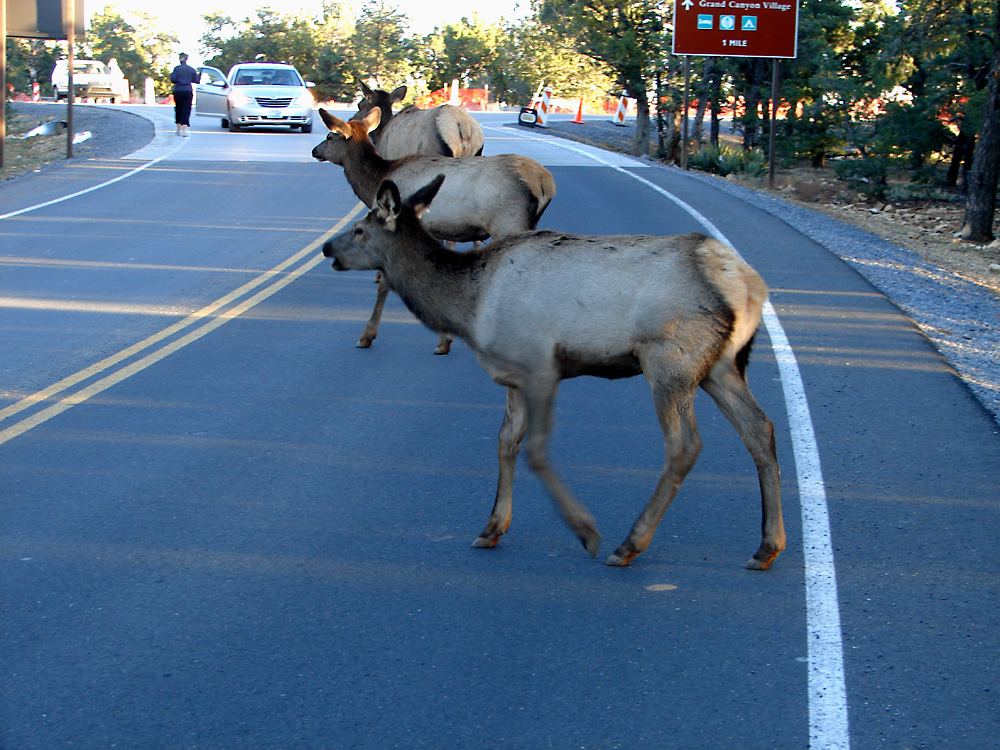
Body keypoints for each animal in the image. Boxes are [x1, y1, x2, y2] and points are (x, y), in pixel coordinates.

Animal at [312, 107, 556, 356]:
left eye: (330, 136)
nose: (315, 150)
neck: (375, 182)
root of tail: (545, 183)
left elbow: (385, 285)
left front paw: (367, 336)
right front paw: (445, 340)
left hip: (508, 221)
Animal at [324, 176, 784, 572]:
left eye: (360, 229)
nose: (329, 248)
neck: (467, 307)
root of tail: (748, 285)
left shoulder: (539, 364)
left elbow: (536, 450)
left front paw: (586, 531)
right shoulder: (512, 371)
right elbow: (505, 442)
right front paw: (491, 527)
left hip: (671, 358)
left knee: (685, 445)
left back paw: (630, 544)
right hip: (721, 365)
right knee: (760, 428)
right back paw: (766, 547)